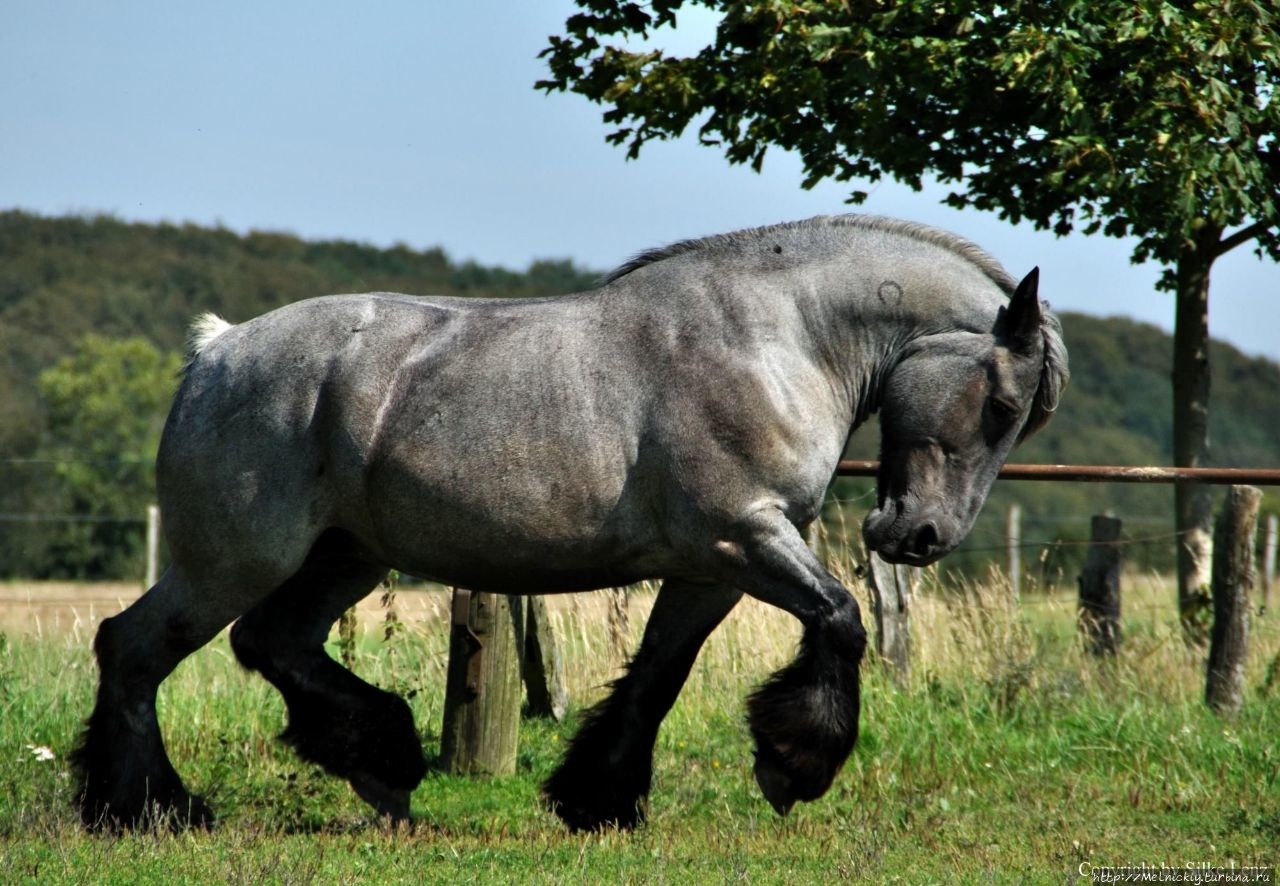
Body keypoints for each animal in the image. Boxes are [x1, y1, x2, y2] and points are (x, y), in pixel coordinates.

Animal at [70, 212, 1070, 829]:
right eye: (999, 404)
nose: (920, 538)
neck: (776, 337)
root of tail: (217, 351)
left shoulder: (710, 567)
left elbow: (659, 675)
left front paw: (597, 798)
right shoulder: (745, 539)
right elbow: (843, 618)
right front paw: (794, 767)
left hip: (344, 558)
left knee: (271, 643)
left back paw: (383, 764)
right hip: (235, 559)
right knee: (135, 648)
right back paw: (147, 808)